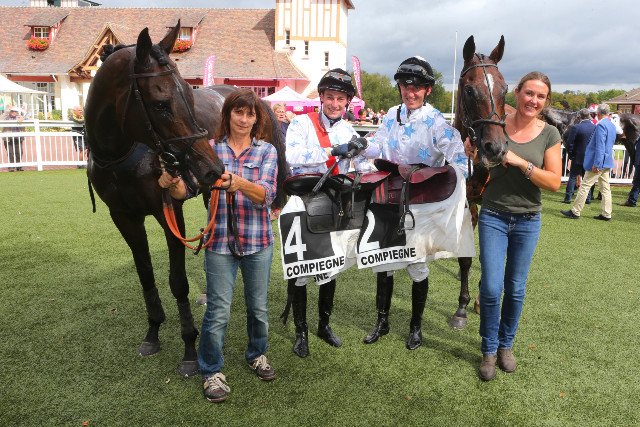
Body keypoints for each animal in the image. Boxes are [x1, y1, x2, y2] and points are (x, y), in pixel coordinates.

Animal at [84, 22, 287, 377]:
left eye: (189, 96)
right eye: (161, 103)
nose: (211, 167)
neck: (121, 154)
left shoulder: (169, 213)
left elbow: (177, 281)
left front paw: (190, 348)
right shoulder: (123, 217)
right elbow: (146, 274)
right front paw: (153, 332)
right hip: (210, 193)